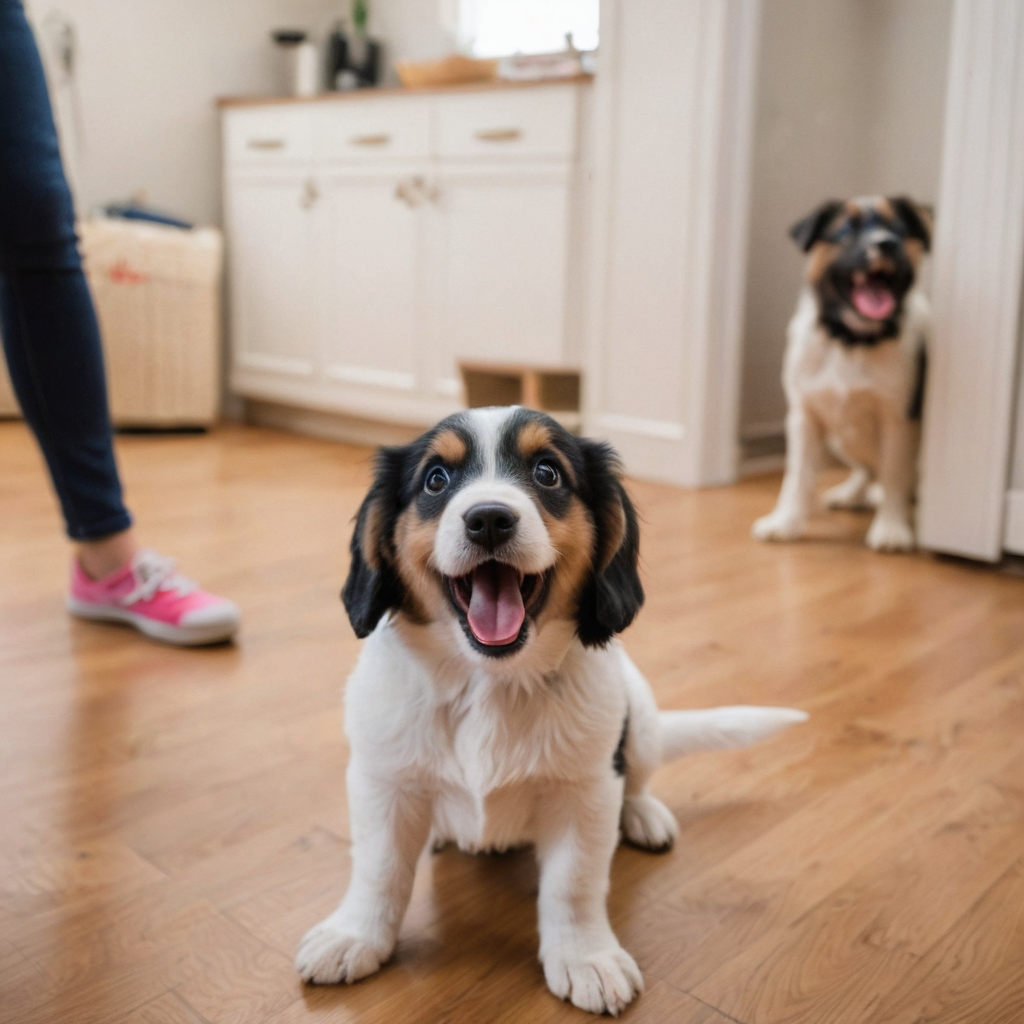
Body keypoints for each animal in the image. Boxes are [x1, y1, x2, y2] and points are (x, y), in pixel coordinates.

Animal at [296, 407, 806, 1015]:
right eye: (436, 480)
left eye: (548, 473)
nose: (489, 519)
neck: (489, 686)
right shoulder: (382, 781)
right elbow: (378, 870)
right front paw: (355, 935)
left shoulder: (585, 791)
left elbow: (574, 883)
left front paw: (586, 957)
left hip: (638, 718)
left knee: (637, 778)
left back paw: (642, 815)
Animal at [749, 192, 933, 552]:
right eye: (846, 230)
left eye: (898, 229)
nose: (886, 243)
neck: (852, 341)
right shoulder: (803, 416)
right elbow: (797, 477)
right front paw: (785, 522)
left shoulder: (898, 420)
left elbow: (895, 475)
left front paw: (891, 527)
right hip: (838, 438)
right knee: (866, 471)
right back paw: (852, 493)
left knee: (896, 481)